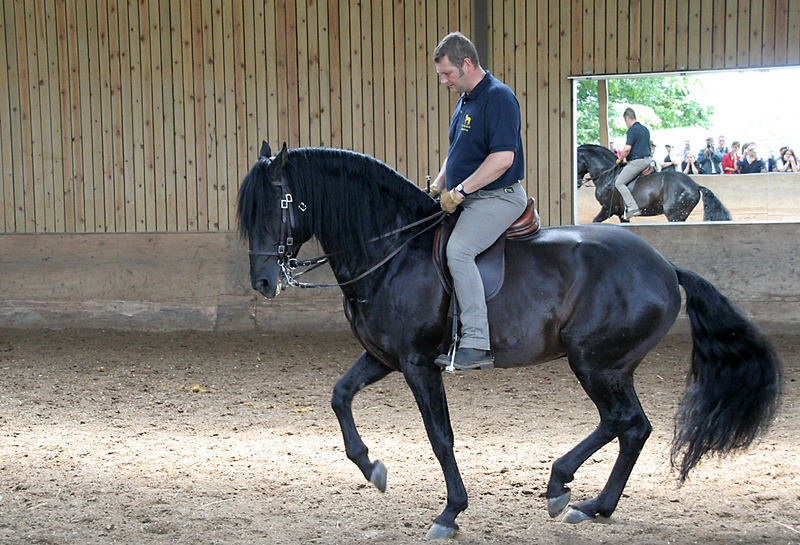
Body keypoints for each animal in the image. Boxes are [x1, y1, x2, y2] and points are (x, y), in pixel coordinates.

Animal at [576, 144, 732, 223]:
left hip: (675, 215)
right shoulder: (621, 214)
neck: (607, 176)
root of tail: (694, 185)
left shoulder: (607, 209)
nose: (577, 183)